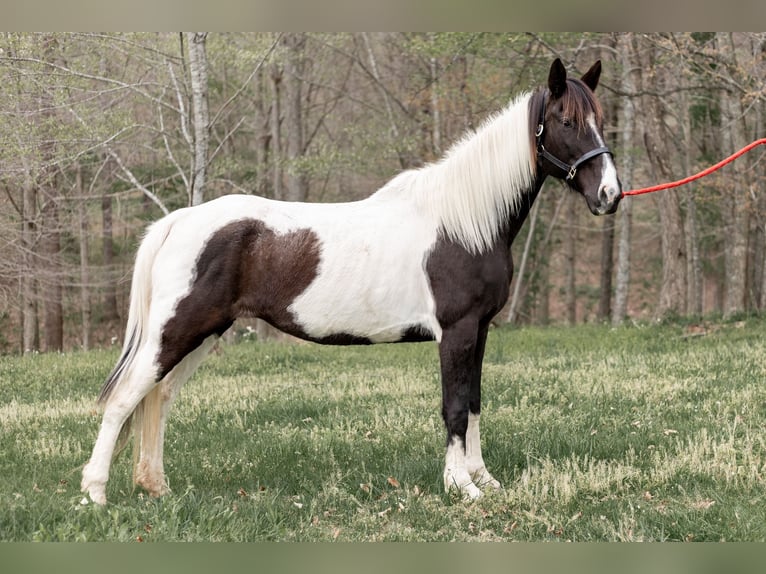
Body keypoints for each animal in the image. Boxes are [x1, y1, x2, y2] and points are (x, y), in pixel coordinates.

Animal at [81, 58, 621, 505]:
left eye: (601, 119)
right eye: (567, 122)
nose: (610, 195)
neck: (462, 221)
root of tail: (180, 220)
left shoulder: (480, 331)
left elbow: (473, 406)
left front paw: (483, 479)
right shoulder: (457, 331)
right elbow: (454, 408)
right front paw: (461, 487)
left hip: (203, 334)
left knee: (159, 398)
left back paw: (157, 487)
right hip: (175, 332)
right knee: (124, 398)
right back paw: (95, 494)